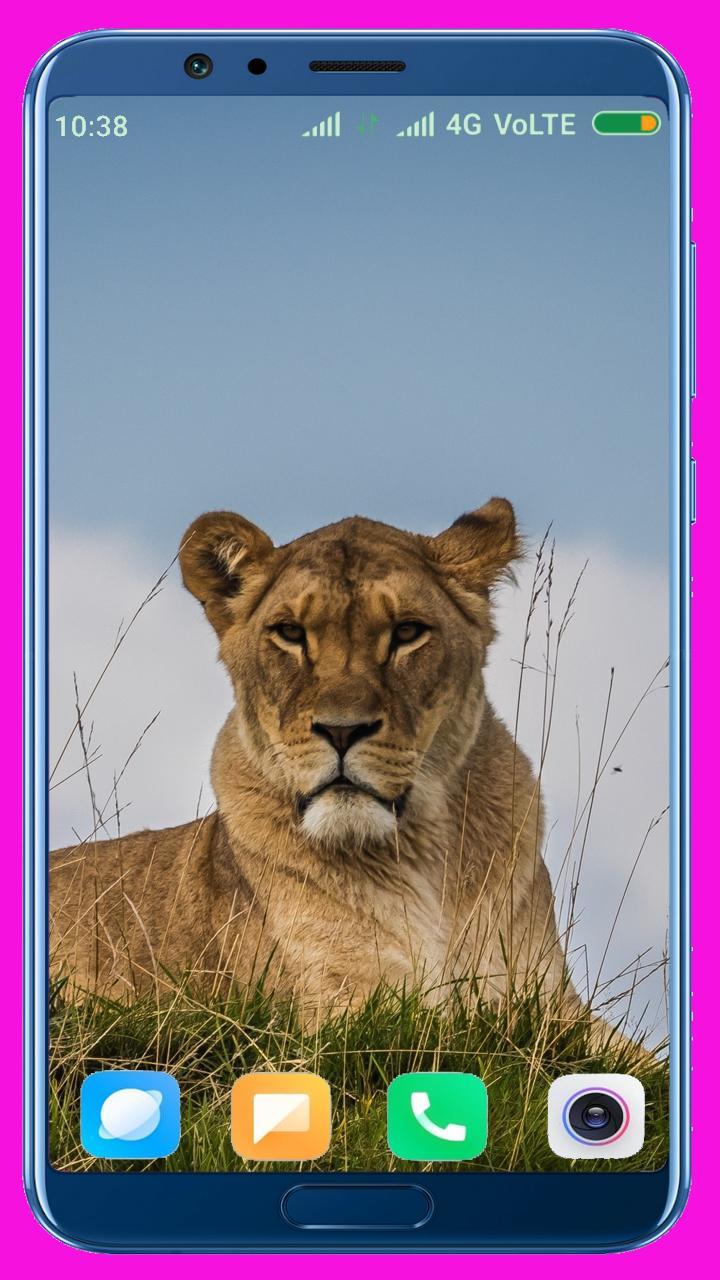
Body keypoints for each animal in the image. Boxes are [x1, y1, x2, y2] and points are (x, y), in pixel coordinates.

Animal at [50, 498, 579, 1021]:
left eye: (408, 631)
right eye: (290, 632)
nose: (342, 730)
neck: (425, 866)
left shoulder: (552, 1004)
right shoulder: (333, 1008)